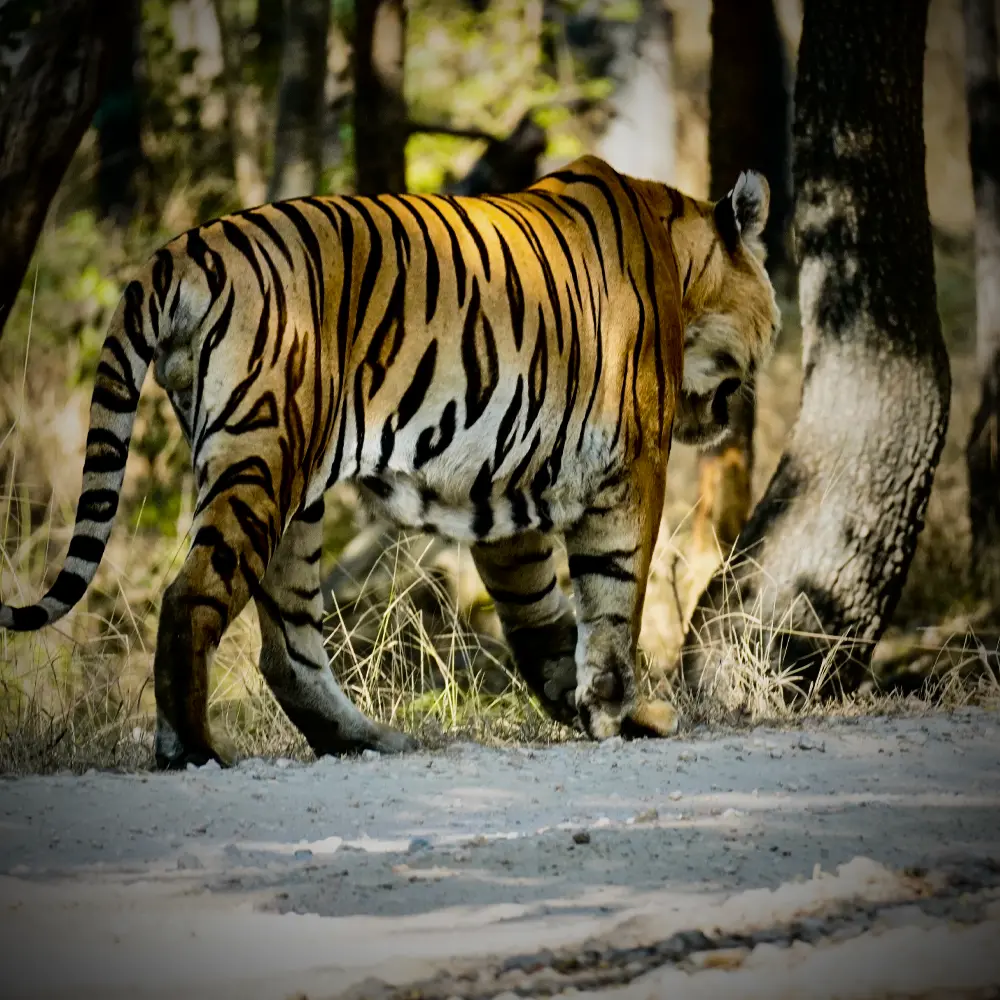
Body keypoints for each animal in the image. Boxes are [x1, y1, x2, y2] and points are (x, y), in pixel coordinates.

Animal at [0, 154, 779, 769]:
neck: (681, 261)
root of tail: (185, 248)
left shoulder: (508, 487)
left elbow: (540, 611)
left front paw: (578, 701)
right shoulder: (633, 465)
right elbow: (614, 595)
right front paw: (621, 708)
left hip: (290, 492)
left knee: (287, 646)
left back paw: (365, 740)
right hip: (263, 457)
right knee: (191, 597)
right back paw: (194, 751)